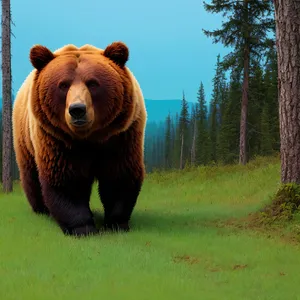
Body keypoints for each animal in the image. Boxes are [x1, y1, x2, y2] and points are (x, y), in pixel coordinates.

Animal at [12, 41, 147, 237]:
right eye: (63, 85)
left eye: (93, 83)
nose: (77, 109)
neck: (88, 138)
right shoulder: (57, 140)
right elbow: (66, 180)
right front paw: (83, 227)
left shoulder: (121, 135)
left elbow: (118, 175)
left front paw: (116, 223)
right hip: (25, 138)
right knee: (31, 174)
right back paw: (41, 209)